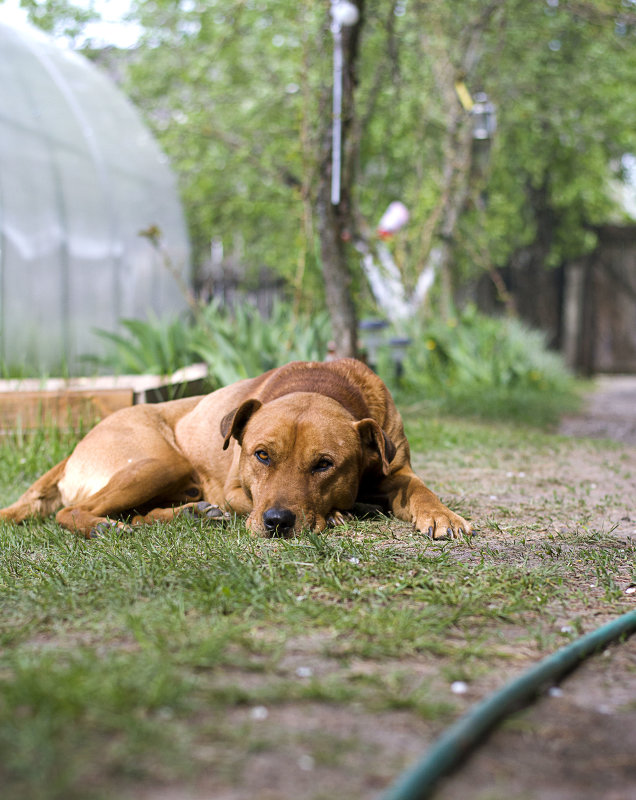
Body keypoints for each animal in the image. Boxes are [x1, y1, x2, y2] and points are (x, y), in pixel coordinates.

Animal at [0, 360, 470, 540]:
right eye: (262, 455)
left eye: (324, 464)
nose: (277, 522)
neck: (324, 385)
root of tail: (72, 452)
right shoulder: (234, 490)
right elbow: (245, 501)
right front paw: (342, 512)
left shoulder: (398, 470)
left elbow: (420, 489)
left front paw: (442, 515)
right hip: (160, 462)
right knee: (73, 510)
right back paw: (102, 527)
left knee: (134, 513)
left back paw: (188, 514)